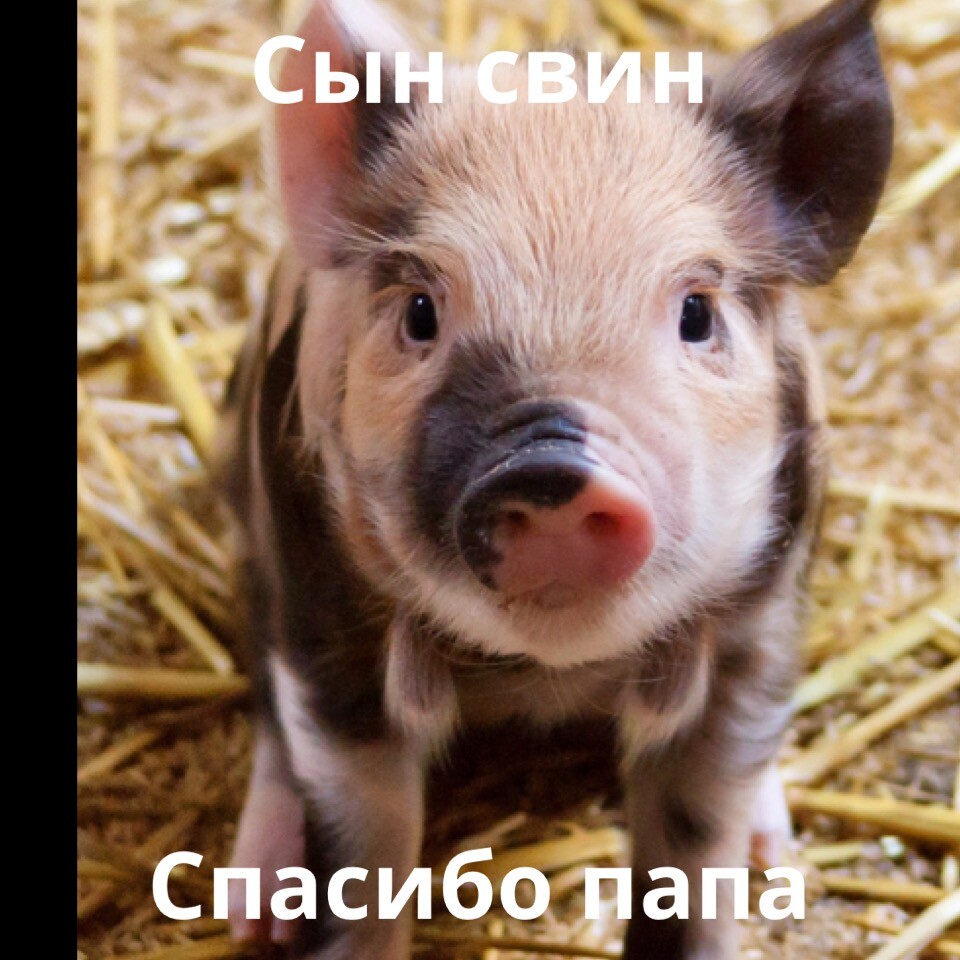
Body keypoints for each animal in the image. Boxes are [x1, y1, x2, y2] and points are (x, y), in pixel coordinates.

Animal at [217, 0, 892, 956]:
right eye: (420, 312)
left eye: (697, 314)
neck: (546, 675)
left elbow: (698, 845)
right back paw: (254, 910)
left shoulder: (757, 623)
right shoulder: (323, 617)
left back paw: (775, 848)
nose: (551, 467)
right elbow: (362, 843)